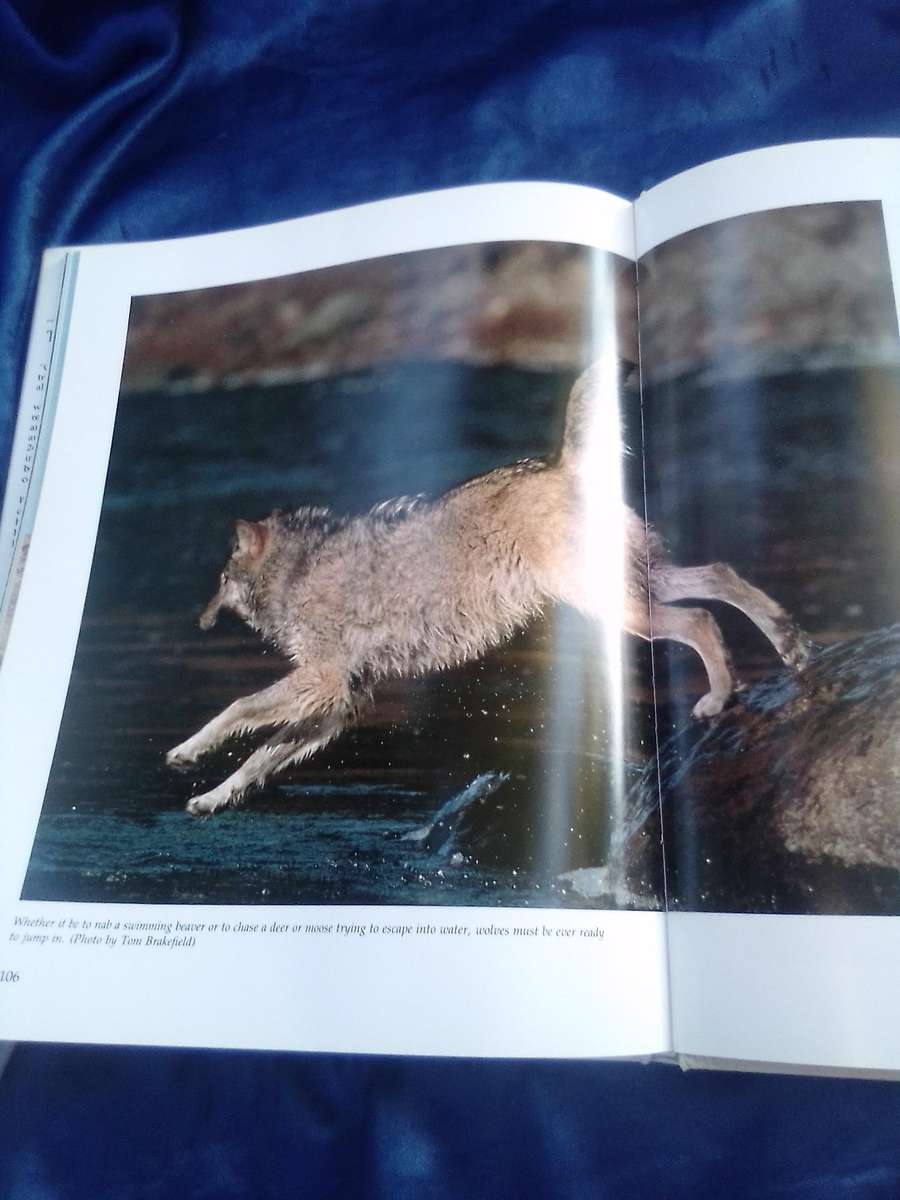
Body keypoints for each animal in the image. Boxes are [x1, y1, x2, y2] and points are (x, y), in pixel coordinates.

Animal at [167, 364, 812, 814]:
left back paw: (719, 697)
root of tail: (560, 466)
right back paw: (790, 645)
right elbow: (259, 756)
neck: (297, 570)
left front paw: (188, 751)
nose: (198, 621)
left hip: (620, 608)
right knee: (722, 577)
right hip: (638, 585)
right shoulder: (341, 703)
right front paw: (213, 798)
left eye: (219, 581)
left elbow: (237, 709)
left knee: (700, 619)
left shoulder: (322, 681)